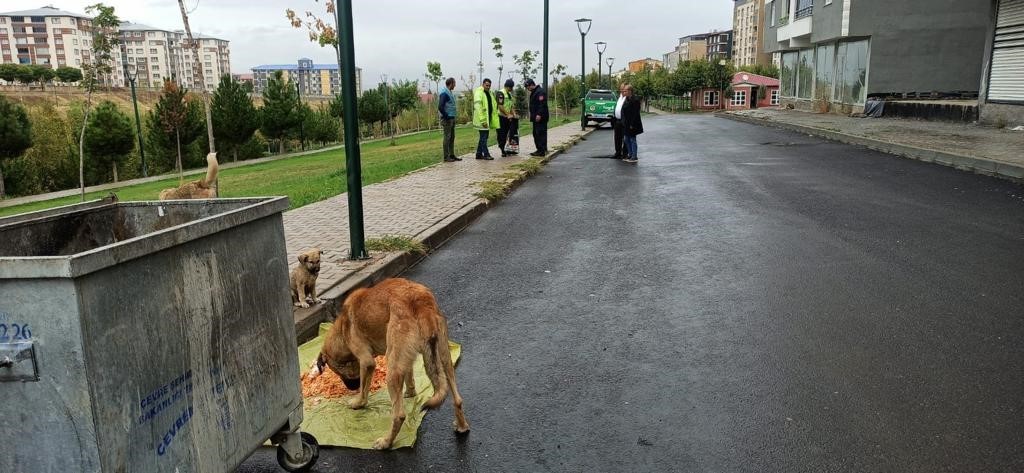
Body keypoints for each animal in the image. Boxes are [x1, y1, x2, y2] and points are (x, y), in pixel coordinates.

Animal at [305, 278, 468, 448]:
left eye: (337, 372)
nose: (352, 388)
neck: (342, 329)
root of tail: (419, 301)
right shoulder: (406, 359)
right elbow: (409, 375)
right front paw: (411, 393)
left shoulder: (366, 361)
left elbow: (364, 390)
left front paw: (358, 403)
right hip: (444, 357)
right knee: (457, 398)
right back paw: (462, 426)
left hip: (392, 369)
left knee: (399, 415)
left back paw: (386, 442)